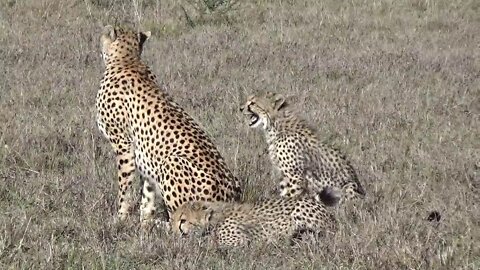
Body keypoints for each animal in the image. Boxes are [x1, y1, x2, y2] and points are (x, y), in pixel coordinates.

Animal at [96, 25, 240, 228]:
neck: (127, 59)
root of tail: (227, 200)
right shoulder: (146, 157)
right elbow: (147, 194)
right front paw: (143, 222)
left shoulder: (123, 145)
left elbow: (124, 187)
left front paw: (120, 218)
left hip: (171, 162)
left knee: (178, 223)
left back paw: (160, 224)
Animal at [238, 92, 366, 204]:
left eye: (253, 103)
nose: (240, 108)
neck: (275, 125)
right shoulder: (284, 176)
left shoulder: (294, 176)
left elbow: (290, 196)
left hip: (350, 186)